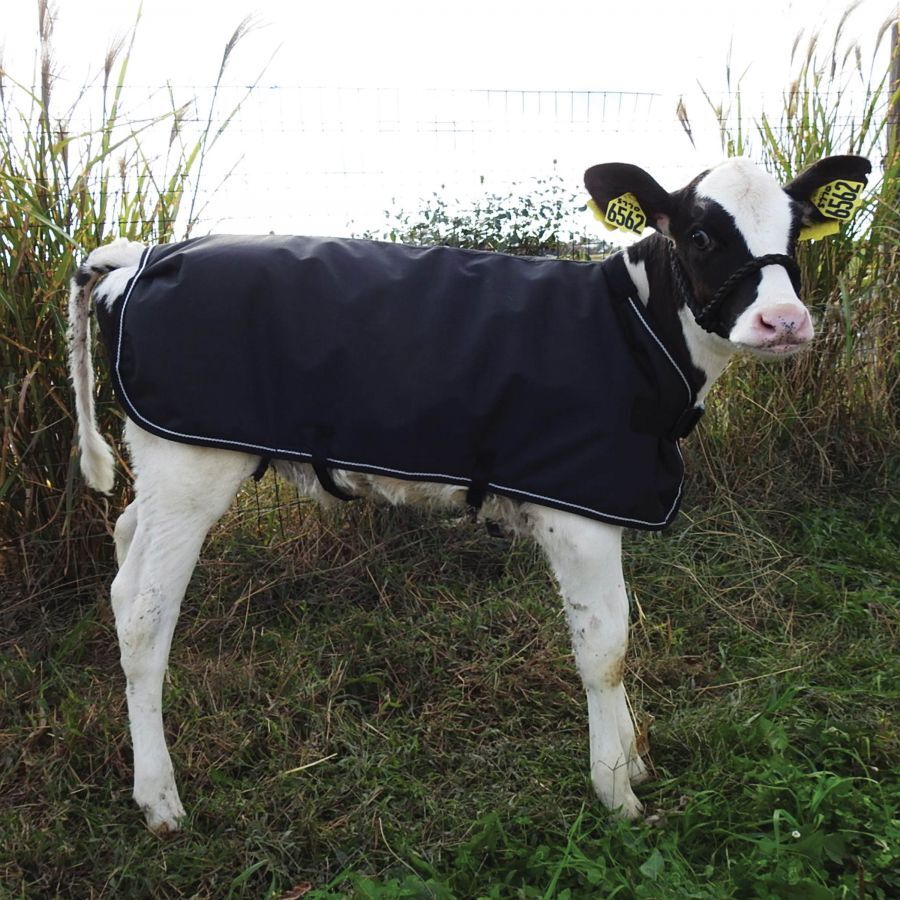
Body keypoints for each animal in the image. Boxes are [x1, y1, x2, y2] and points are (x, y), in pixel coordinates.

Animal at [67, 155, 870, 832]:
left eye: (796, 232)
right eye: (700, 234)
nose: (785, 323)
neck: (636, 332)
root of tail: (139, 258)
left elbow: (615, 636)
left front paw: (633, 756)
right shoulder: (577, 514)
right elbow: (605, 649)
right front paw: (616, 790)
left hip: (162, 462)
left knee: (125, 549)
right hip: (191, 464)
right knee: (143, 616)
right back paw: (160, 800)